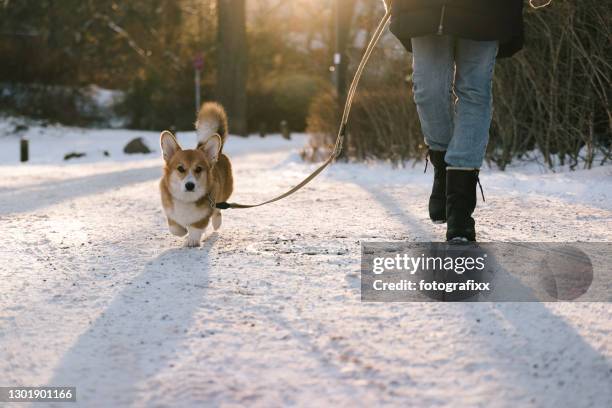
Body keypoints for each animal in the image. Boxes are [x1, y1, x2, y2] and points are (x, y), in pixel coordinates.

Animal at [159, 103, 233, 249]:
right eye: (180, 168)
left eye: (198, 169)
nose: (190, 185)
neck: (186, 199)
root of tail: (218, 152)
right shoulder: (170, 212)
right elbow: (174, 228)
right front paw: (183, 231)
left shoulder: (204, 214)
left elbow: (196, 227)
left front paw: (192, 240)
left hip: (223, 193)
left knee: (218, 209)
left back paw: (217, 222)